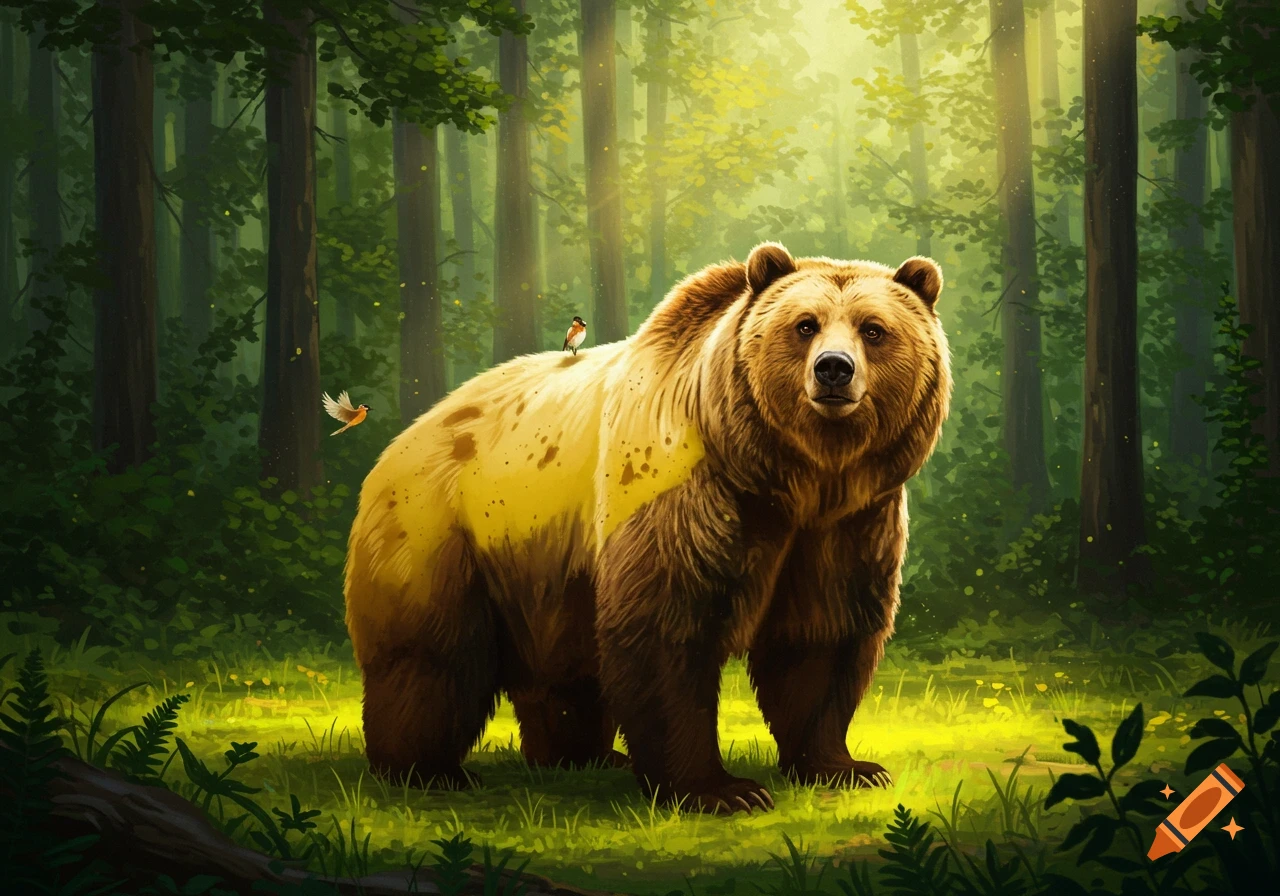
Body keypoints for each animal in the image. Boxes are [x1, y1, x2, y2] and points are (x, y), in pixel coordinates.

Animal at [343, 241, 951, 814]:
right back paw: (427, 770)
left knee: (563, 668)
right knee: (432, 658)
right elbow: (667, 627)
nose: (833, 369)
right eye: (805, 324)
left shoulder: (848, 522)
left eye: (873, 329)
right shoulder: (685, 490)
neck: (792, 476)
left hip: (545, 568)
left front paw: (845, 767)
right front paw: (720, 791)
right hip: (444, 530)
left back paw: (582, 756)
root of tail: (403, 437)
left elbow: (822, 634)